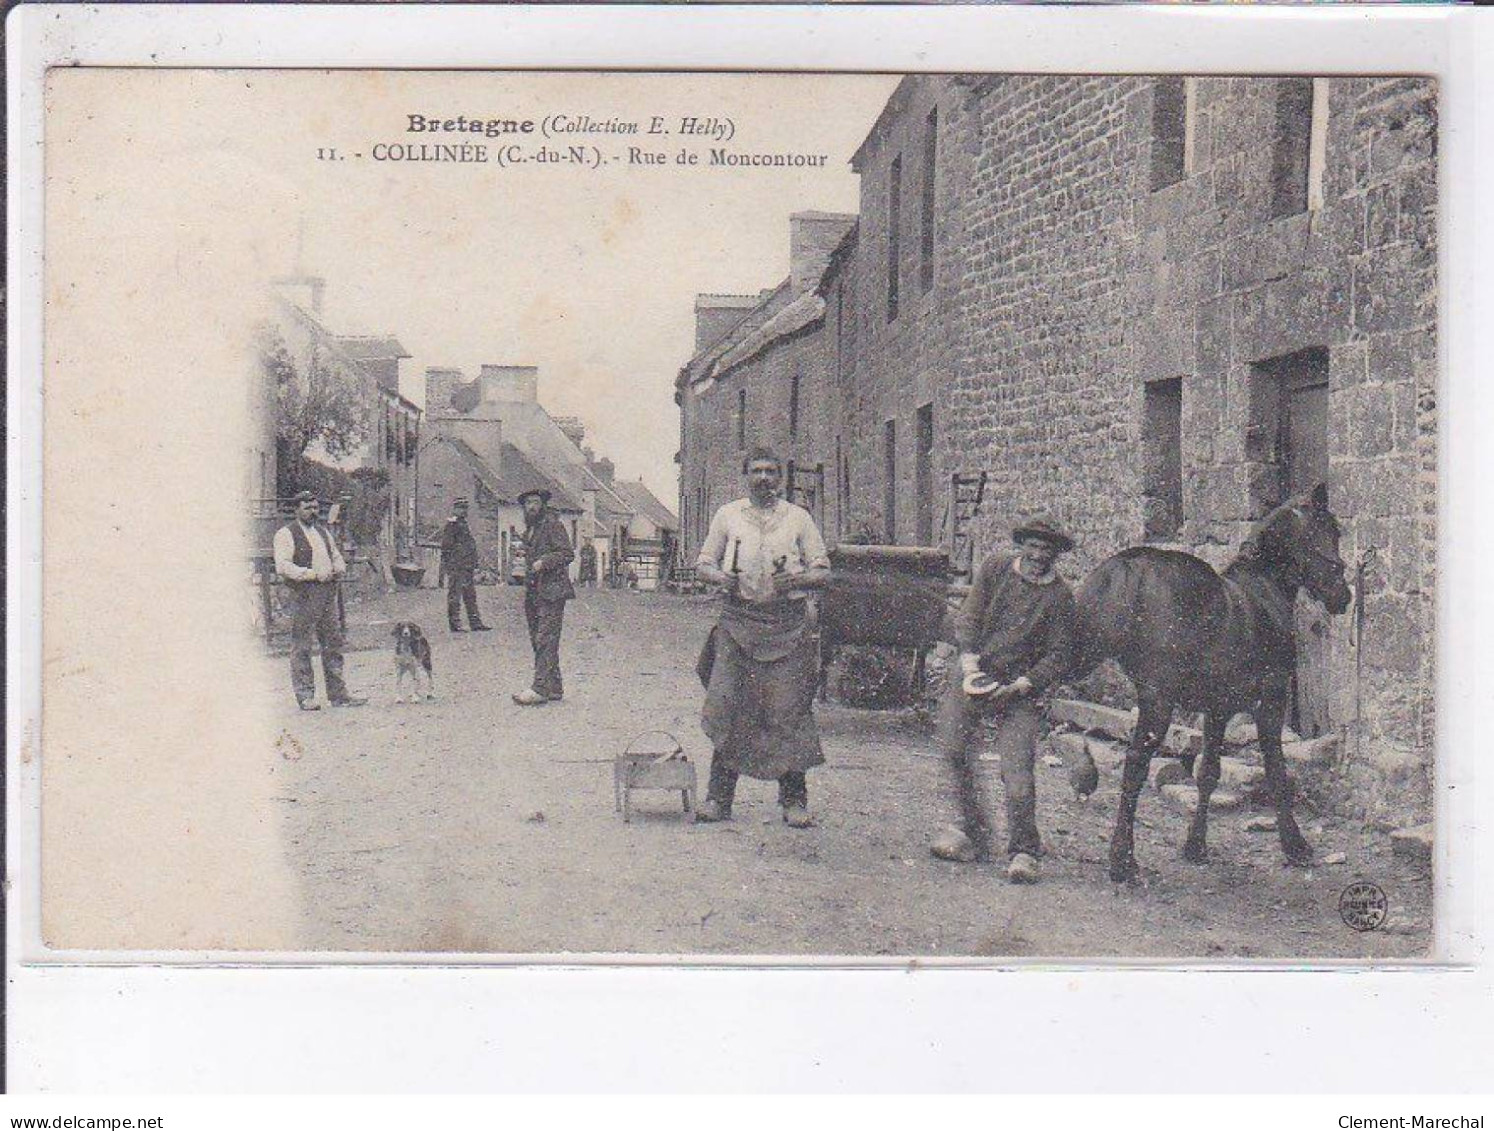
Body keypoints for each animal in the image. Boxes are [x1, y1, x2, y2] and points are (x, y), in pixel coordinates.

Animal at [1075, 478, 1356, 884]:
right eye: (1332, 529)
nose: (1343, 595)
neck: (1263, 588)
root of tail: (1126, 566)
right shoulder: (1271, 701)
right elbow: (1276, 771)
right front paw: (1295, 845)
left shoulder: (1218, 709)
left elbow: (1208, 773)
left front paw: (1196, 845)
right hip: (1157, 702)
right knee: (1134, 766)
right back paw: (1122, 860)